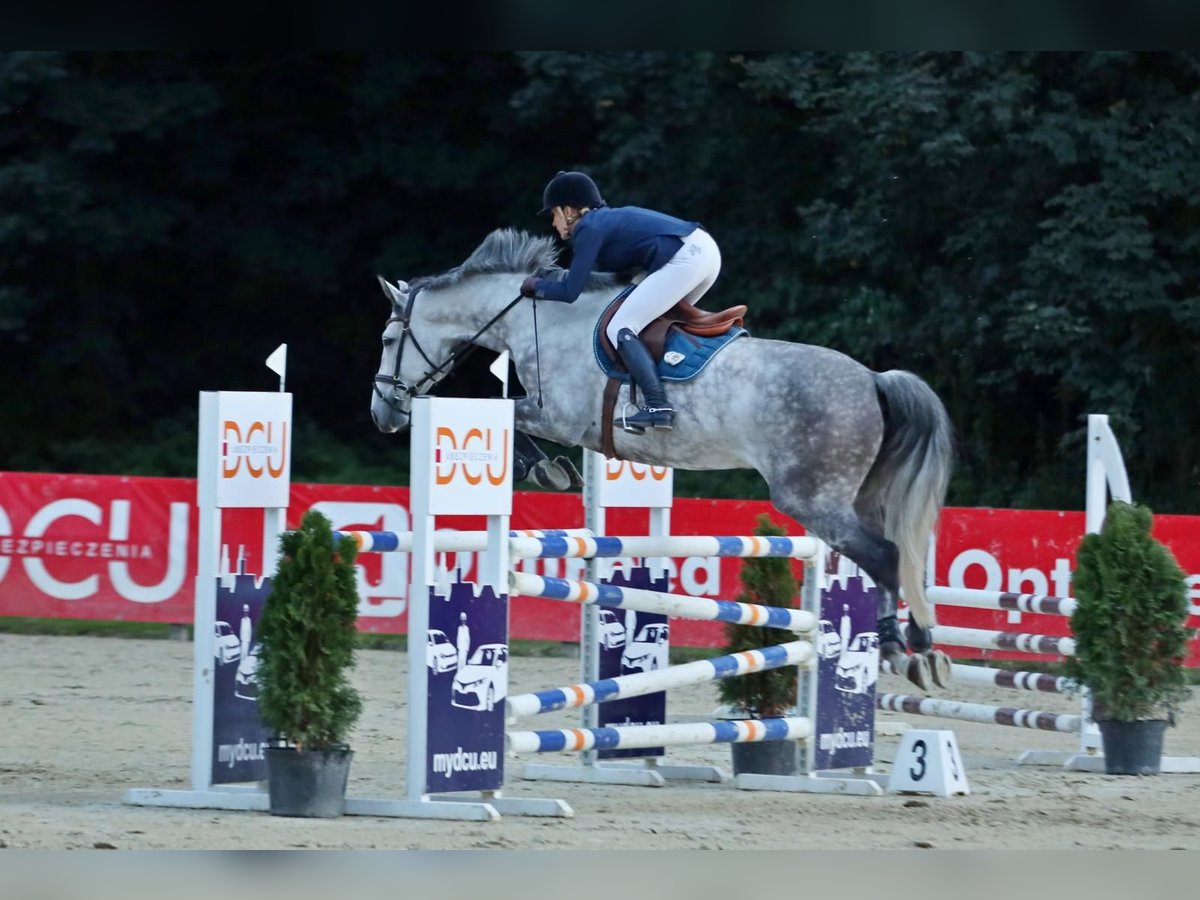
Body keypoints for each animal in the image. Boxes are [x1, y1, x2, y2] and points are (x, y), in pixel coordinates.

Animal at [369, 226, 950, 691]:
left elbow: (509, 412)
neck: (542, 318)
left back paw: (902, 649)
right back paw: (924, 646)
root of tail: (874, 379)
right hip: (858, 496)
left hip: (813, 499)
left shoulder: (559, 417)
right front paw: (553, 470)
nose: (383, 415)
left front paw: (549, 471)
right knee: (898, 556)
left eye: (390, 337)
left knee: (885, 556)